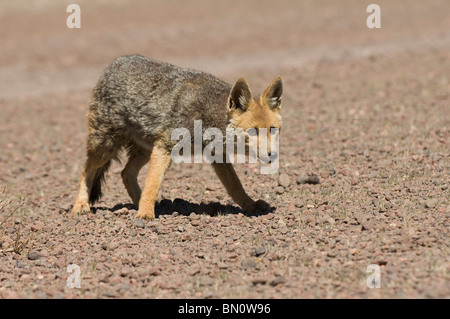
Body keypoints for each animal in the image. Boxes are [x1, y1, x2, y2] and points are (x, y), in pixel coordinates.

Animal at [72, 55, 284, 220]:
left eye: (273, 130)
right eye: (253, 131)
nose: (272, 155)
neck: (207, 114)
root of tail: (114, 64)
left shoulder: (217, 156)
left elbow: (235, 185)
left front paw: (250, 204)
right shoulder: (164, 147)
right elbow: (152, 183)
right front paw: (145, 214)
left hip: (144, 151)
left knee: (126, 173)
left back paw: (139, 202)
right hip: (106, 147)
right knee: (86, 169)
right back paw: (81, 205)